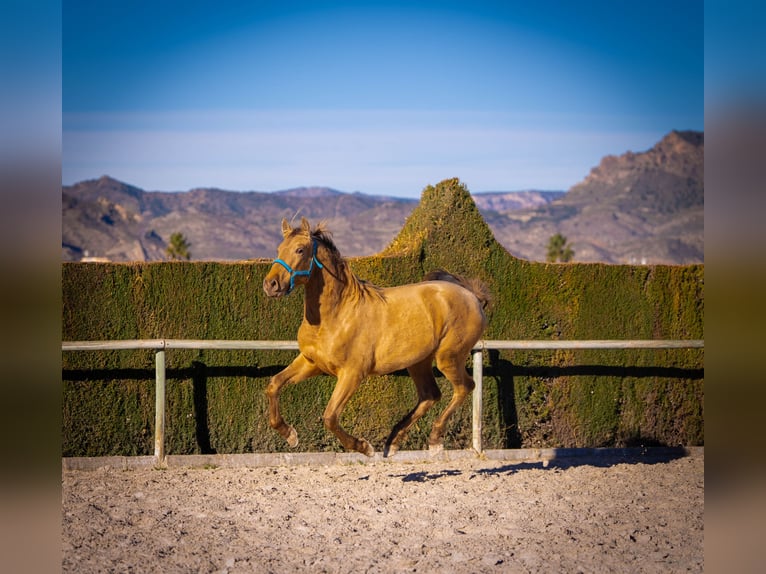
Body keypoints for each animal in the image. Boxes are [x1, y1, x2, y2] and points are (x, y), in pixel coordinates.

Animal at [264, 217, 492, 460]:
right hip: (419, 362)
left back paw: (434, 439)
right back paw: (393, 442)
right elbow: (274, 384)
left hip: (448, 358)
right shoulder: (311, 362)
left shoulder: (353, 373)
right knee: (430, 395)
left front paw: (364, 447)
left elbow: (330, 417)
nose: (270, 285)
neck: (337, 315)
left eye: (300, 249)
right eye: (279, 249)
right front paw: (289, 434)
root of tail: (472, 296)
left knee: (465, 387)